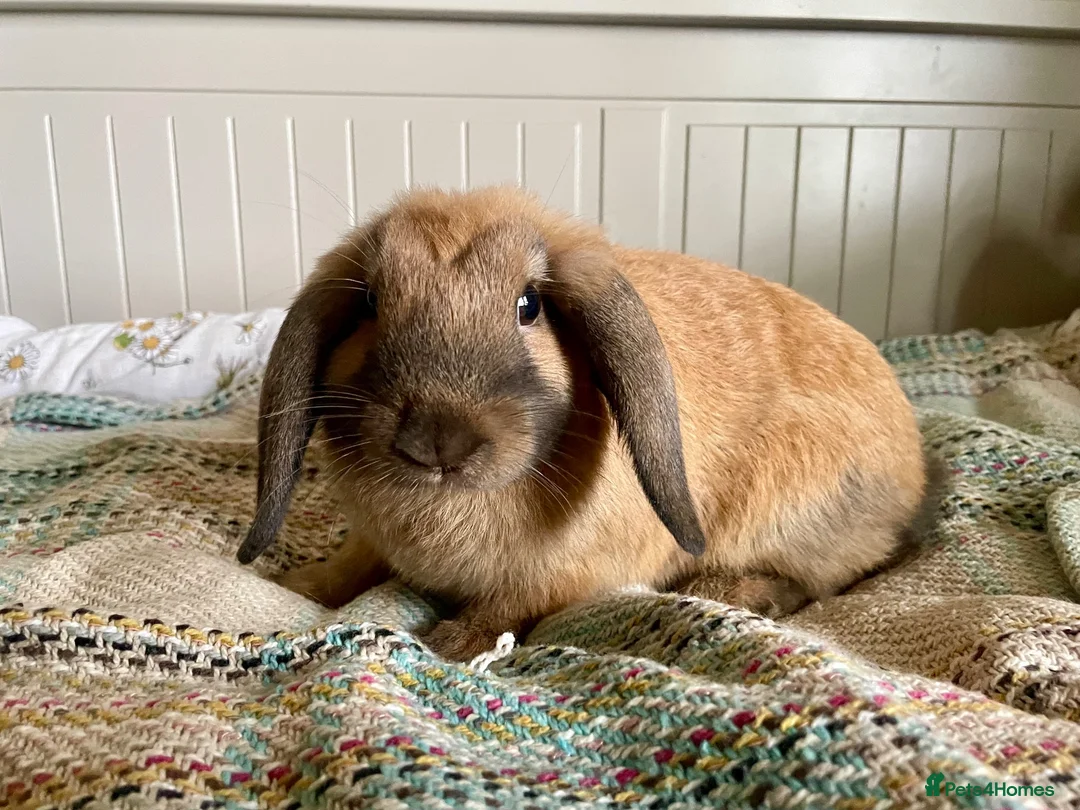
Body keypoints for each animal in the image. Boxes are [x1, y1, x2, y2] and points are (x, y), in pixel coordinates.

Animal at [236, 184, 931, 662]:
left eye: (529, 305)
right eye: (372, 301)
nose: (437, 440)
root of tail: (915, 472)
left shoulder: (571, 576)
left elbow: (513, 604)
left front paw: (455, 643)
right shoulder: (371, 544)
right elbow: (351, 565)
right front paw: (296, 584)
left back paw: (736, 593)